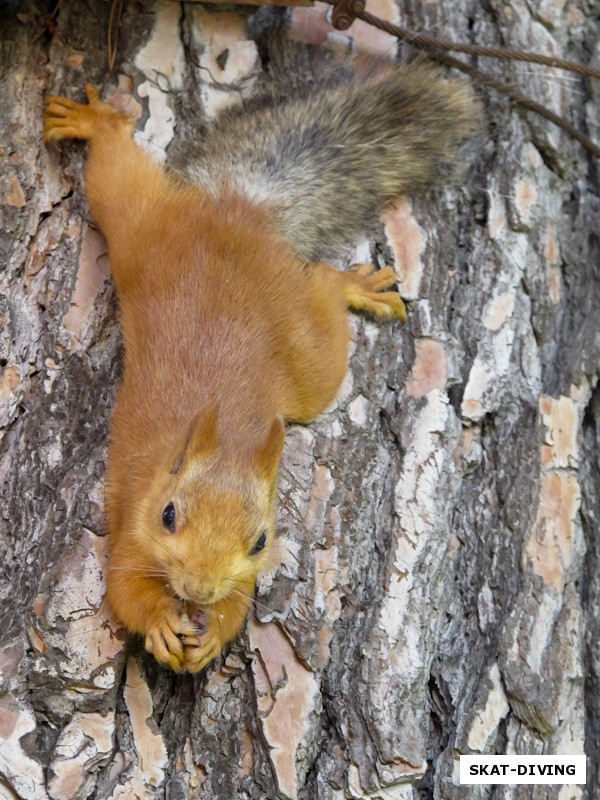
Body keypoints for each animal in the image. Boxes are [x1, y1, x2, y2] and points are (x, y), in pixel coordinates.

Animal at [44, 64, 480, 676]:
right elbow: (124, 588)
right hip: (140, 225)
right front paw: (161, 623)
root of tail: (242, 216)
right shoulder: (131, 520)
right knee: (114, 171)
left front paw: (212, 632)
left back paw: (350, 287)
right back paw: (94, 122)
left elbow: (240, 602)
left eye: (259, 541)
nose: (198, 591)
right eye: (169, 516)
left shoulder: (247, 567)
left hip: (299, 353)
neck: (221, 439)